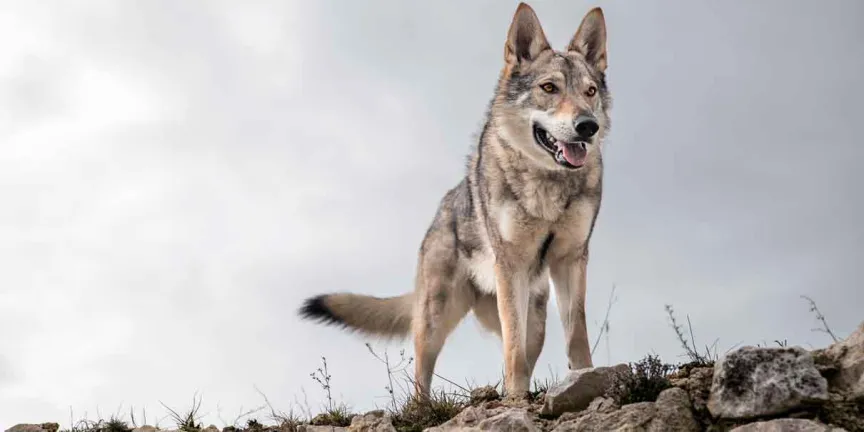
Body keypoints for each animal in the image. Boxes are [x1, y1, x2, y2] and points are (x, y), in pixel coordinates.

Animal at [299, 3, 611, 400]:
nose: (588, 126)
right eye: (549, 88)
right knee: (423, 377)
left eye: (589, 91)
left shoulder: (571, 259)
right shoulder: (511, 265)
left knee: (523, 349)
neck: (548, 185)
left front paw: (586, 380)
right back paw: (427, 407)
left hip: (535, 319)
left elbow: (576, 336)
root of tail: (441, 210)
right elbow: (513, 350)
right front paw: (516, 400)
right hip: (435, 318)